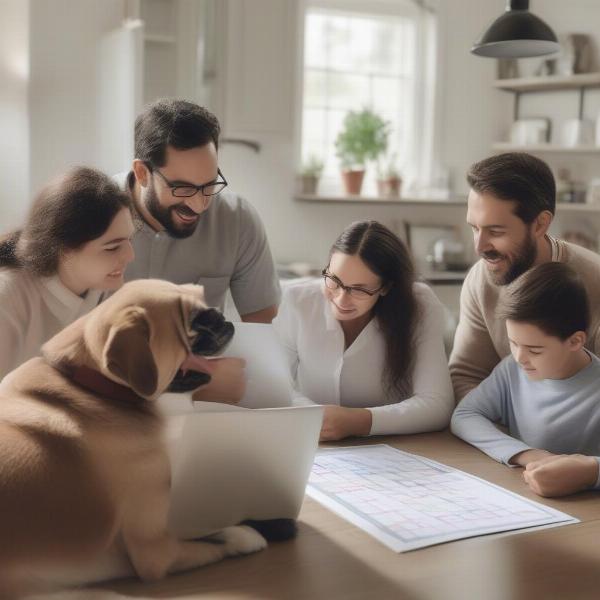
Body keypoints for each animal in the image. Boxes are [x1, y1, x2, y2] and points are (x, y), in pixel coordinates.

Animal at [0, 280, 268, 596]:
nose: (218, 314)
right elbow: (216, 536)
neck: (93, 387)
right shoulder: (157, 551)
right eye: (192, 321)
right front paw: (248, 534)